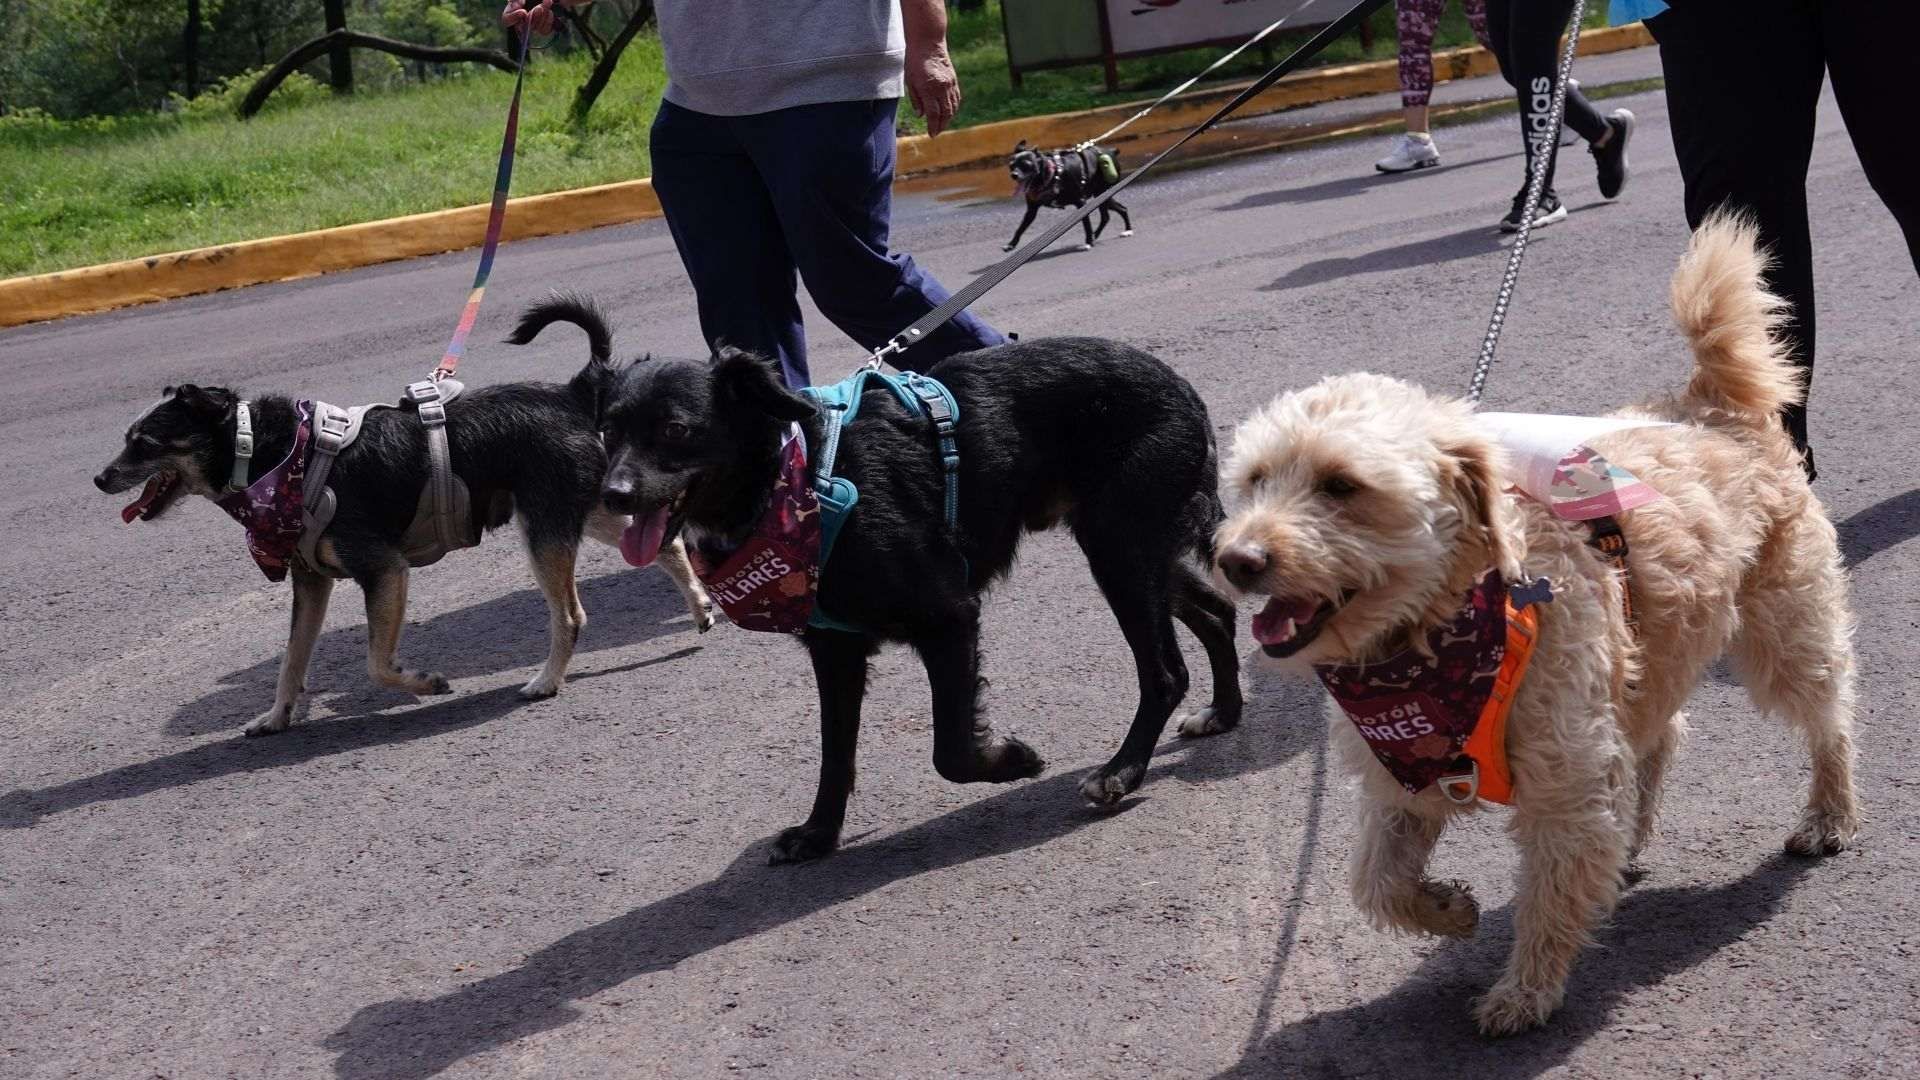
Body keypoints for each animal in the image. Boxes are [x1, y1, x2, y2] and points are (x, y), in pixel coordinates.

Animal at [95, 328, 714, 734]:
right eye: (125, 438)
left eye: (143, 443)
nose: (100, 478)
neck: (274, 455)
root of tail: (571, 393)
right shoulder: (311, 581)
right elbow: (292, 660)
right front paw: (276, 716)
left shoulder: (383, 569)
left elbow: (376, 662)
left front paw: (426, 683)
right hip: (579, 509)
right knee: (665, 543)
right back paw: (701, 605)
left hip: (545, 529)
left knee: (571, 614)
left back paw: (546, 681)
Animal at [510, 292, 1236, 857]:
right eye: (608, 431)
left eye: (675, 430)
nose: (613, 496)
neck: (792, 484)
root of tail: (1185, 391)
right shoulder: (835, 648)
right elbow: (835, 752)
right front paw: (818, 834)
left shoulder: (949, 617)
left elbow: (950, 749)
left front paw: (1008, 759)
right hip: (1136, 549)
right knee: (1218, 612)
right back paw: (1222, 713)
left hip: (1120, 549)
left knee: (1165, 671)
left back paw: (1123, 772)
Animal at [1213, 214, 1858, 1030]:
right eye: (1256, 480)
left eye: (1341, 485)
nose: (1234, 559)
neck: (1444, 636)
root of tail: (1715, 405)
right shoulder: (1405, 776)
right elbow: (1375, 882)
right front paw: (1447, 910)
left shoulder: (1565, 783)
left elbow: (1549, 898)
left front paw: (1525, 991)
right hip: (1649, 660)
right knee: (1662, 735)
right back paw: (1635, 836)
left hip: (1786, 630)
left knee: (1830, 714)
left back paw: (1830, 813)